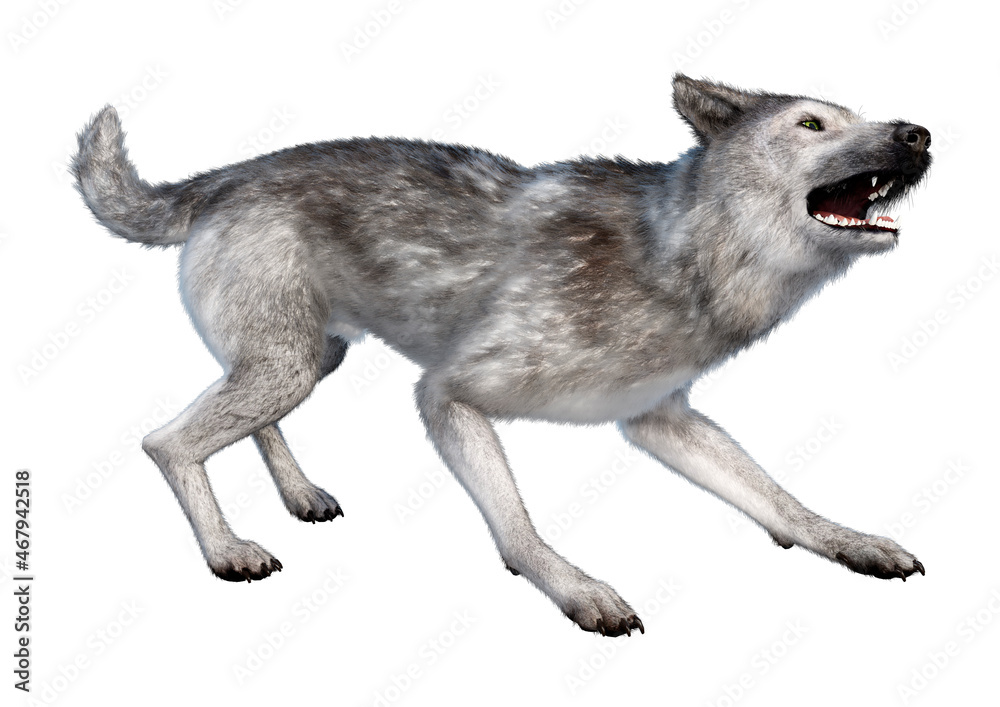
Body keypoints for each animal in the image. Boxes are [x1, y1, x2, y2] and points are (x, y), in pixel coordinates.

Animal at [73, 75, 931, 637]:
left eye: (859, 116)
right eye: (812, 125)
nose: (917, 133)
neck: (681, 253)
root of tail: (224, 177)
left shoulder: (660, 419)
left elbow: (779, 500)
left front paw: (849, 541)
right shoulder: (448, 392)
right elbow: (516, 522)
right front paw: (573, 587)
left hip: (308, 359)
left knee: (246, 419)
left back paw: (300, 495)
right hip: (284, 365)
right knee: (167, 441)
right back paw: (227, 551)